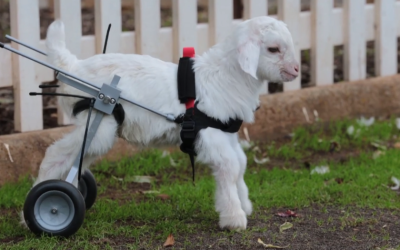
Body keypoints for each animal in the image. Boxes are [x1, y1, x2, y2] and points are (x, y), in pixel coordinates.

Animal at [32, 17, 298, 230]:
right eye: (273, 49)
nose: (296, 70)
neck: (222, 77)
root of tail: (73, 67)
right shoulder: (211, 135)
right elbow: (230, 168)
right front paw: (234, 218)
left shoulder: (226, 133)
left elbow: (240, 164)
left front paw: (245, 205)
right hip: (98, 121)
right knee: (56, 154)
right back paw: (42, 208)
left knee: (76, 160)